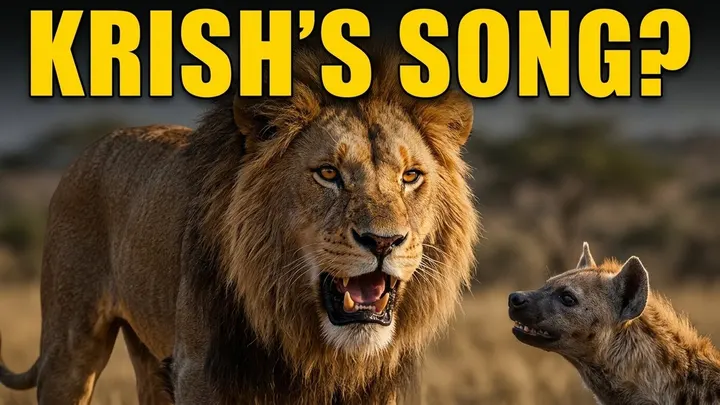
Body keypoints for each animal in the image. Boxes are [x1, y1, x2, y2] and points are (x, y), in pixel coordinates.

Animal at [0, 41, 480, 404]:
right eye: (328, 173)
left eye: (410, 176)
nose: (383, 242)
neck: (313, 347)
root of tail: (94, 145)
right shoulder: (199, 373)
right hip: (69, 347)